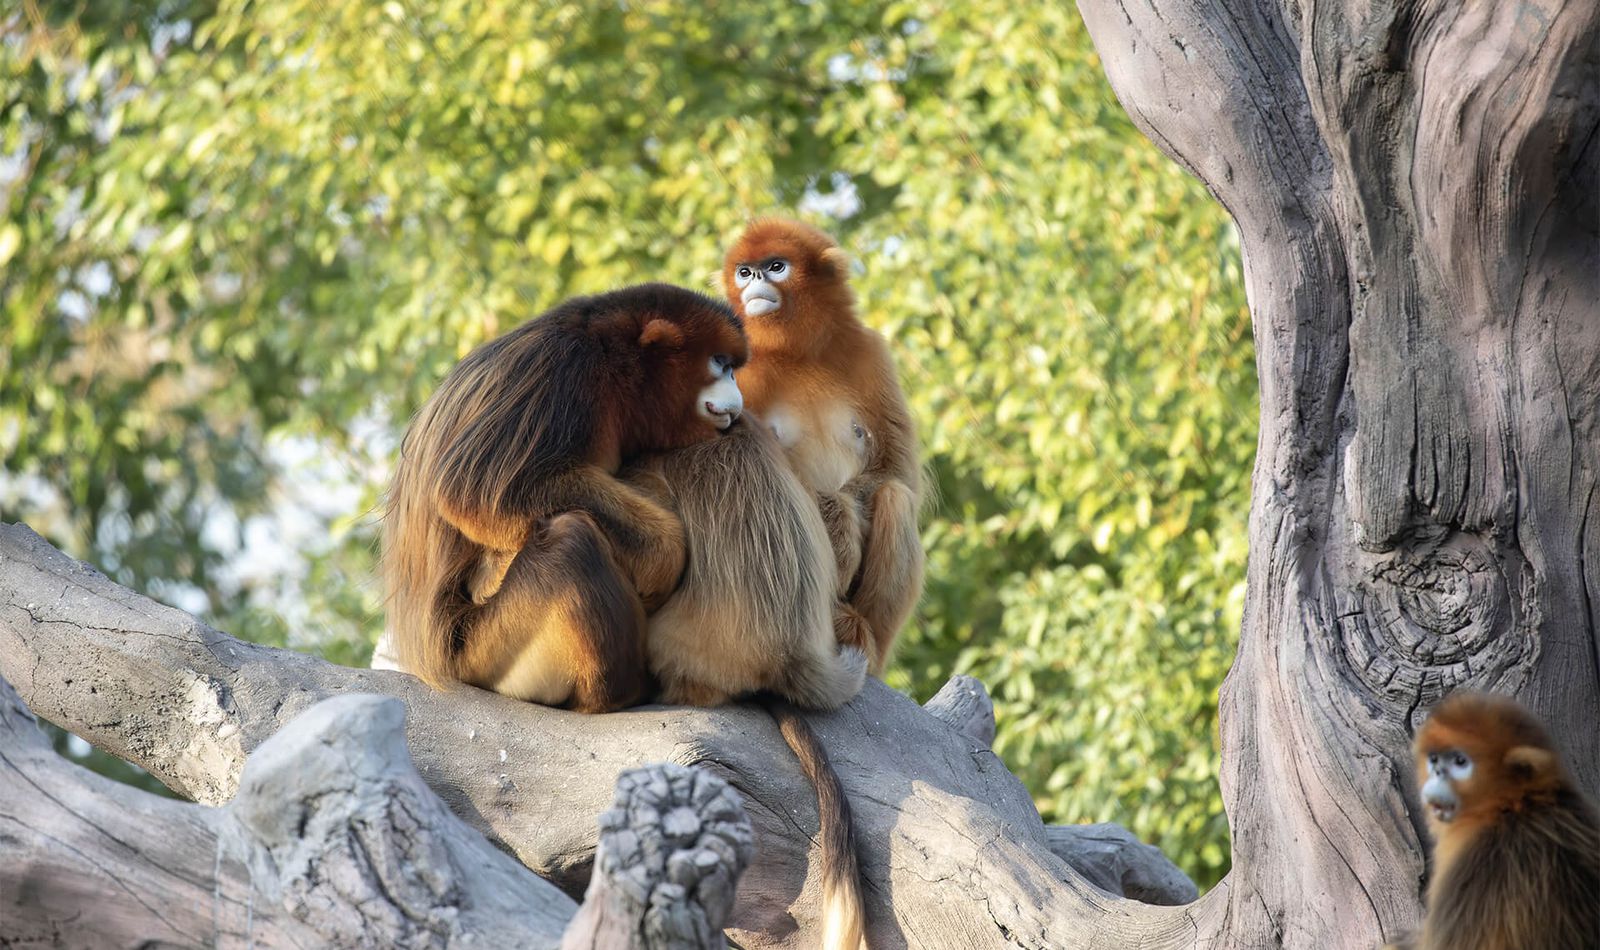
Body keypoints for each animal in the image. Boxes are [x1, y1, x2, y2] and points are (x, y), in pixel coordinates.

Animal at [382, 281, 748, 710]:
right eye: (720, 363)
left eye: (732, 367)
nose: (737, 392)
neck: (610, 360)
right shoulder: (563, 366)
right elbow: (475, 490)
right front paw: (664, 555)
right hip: (486, 653)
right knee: (570, 542)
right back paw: (618, 693)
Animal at [726, 215, 928, 671]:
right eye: (744, 271)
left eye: (775, 266)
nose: (754, 281)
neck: (793, 352)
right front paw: (836, 523)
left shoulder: (870, 351)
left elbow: (895, 469)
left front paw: (840, 520)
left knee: (895, 497)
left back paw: (855, 635)